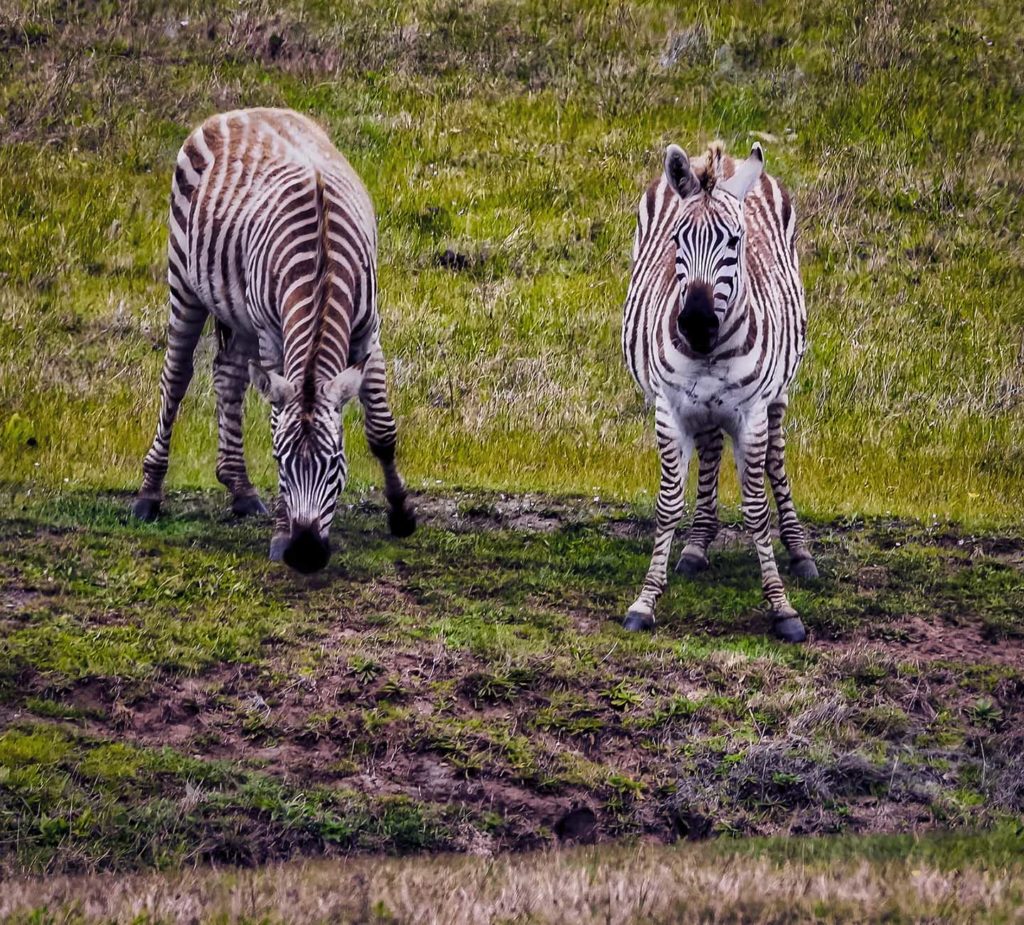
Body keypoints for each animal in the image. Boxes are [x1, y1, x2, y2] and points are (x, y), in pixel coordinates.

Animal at [133, 108, 416, 573]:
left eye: (335, 463)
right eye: (281, 463)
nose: (305, 553)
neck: (322, 271)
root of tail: (241, 111)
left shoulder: (367, 329)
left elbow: (382, 431)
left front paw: (401, 513)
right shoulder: (273, 335)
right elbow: (273, 420)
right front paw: (281, 535)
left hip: (241, 311)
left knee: (228, 374)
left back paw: (241, 490)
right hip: (185, 281)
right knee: (175, 378)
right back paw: (149, 494)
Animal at [621, 140, 817, 642]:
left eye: (734, 241)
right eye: (677, 239)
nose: (694, 323)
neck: (709, 353)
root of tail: (723, 161)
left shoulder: (752, 414)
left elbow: (756, 509)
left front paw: (783, 608)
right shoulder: (670, 410)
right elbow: (668, 504)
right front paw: (645, 601)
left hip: (778, 394)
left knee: (776, 461)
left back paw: (800, 551)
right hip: (702, 406)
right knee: (710, 448)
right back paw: (697, 544)